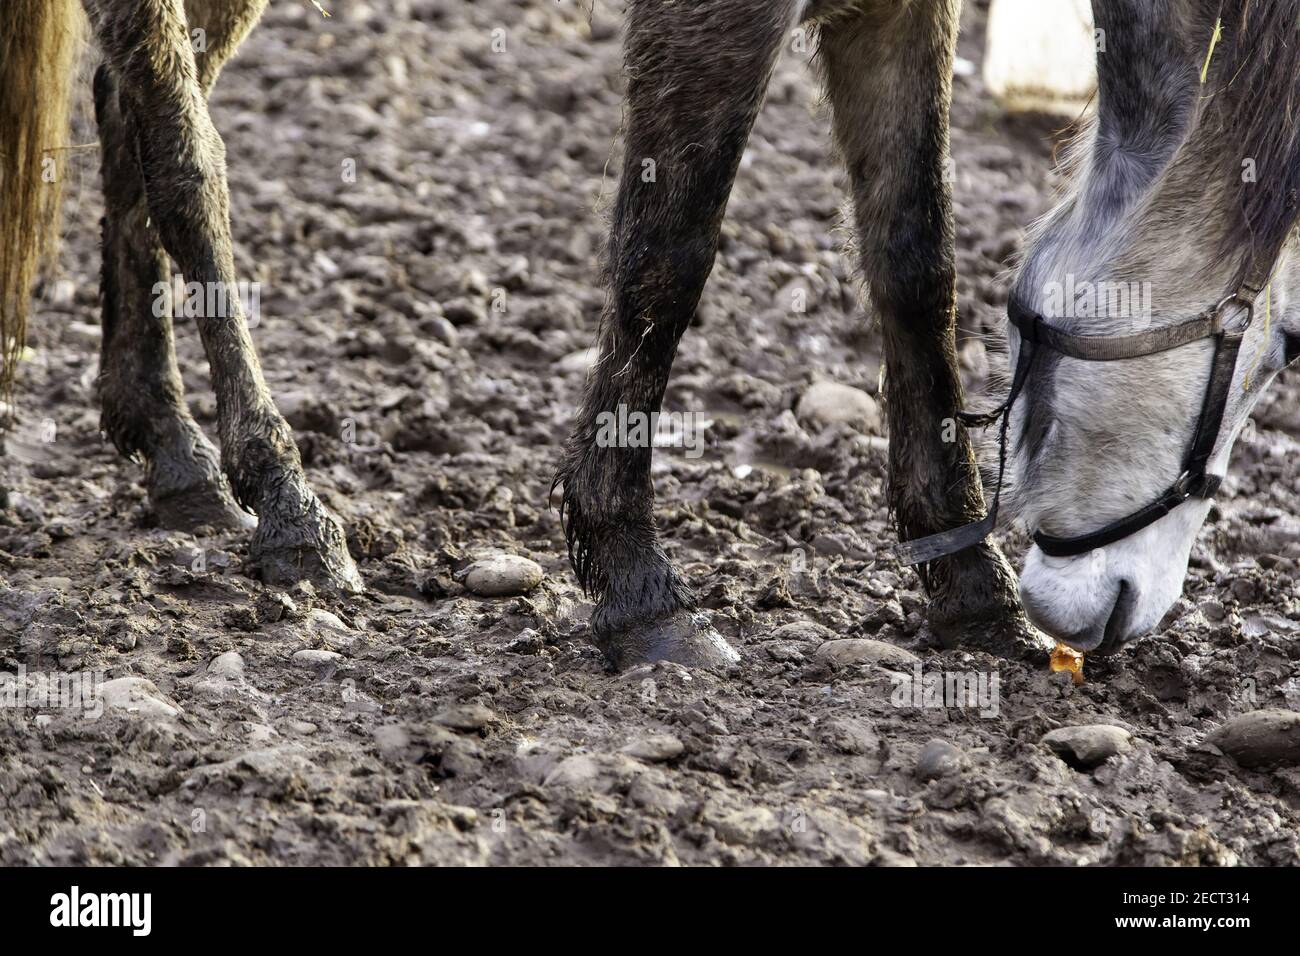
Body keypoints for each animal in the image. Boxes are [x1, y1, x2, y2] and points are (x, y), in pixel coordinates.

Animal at [553, 0, 1300, 671]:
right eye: (1289, 344)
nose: (1138, 608)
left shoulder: (901, 15)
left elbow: (914, 258)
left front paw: (973, 588)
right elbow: (668, 258)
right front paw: (639, 589)